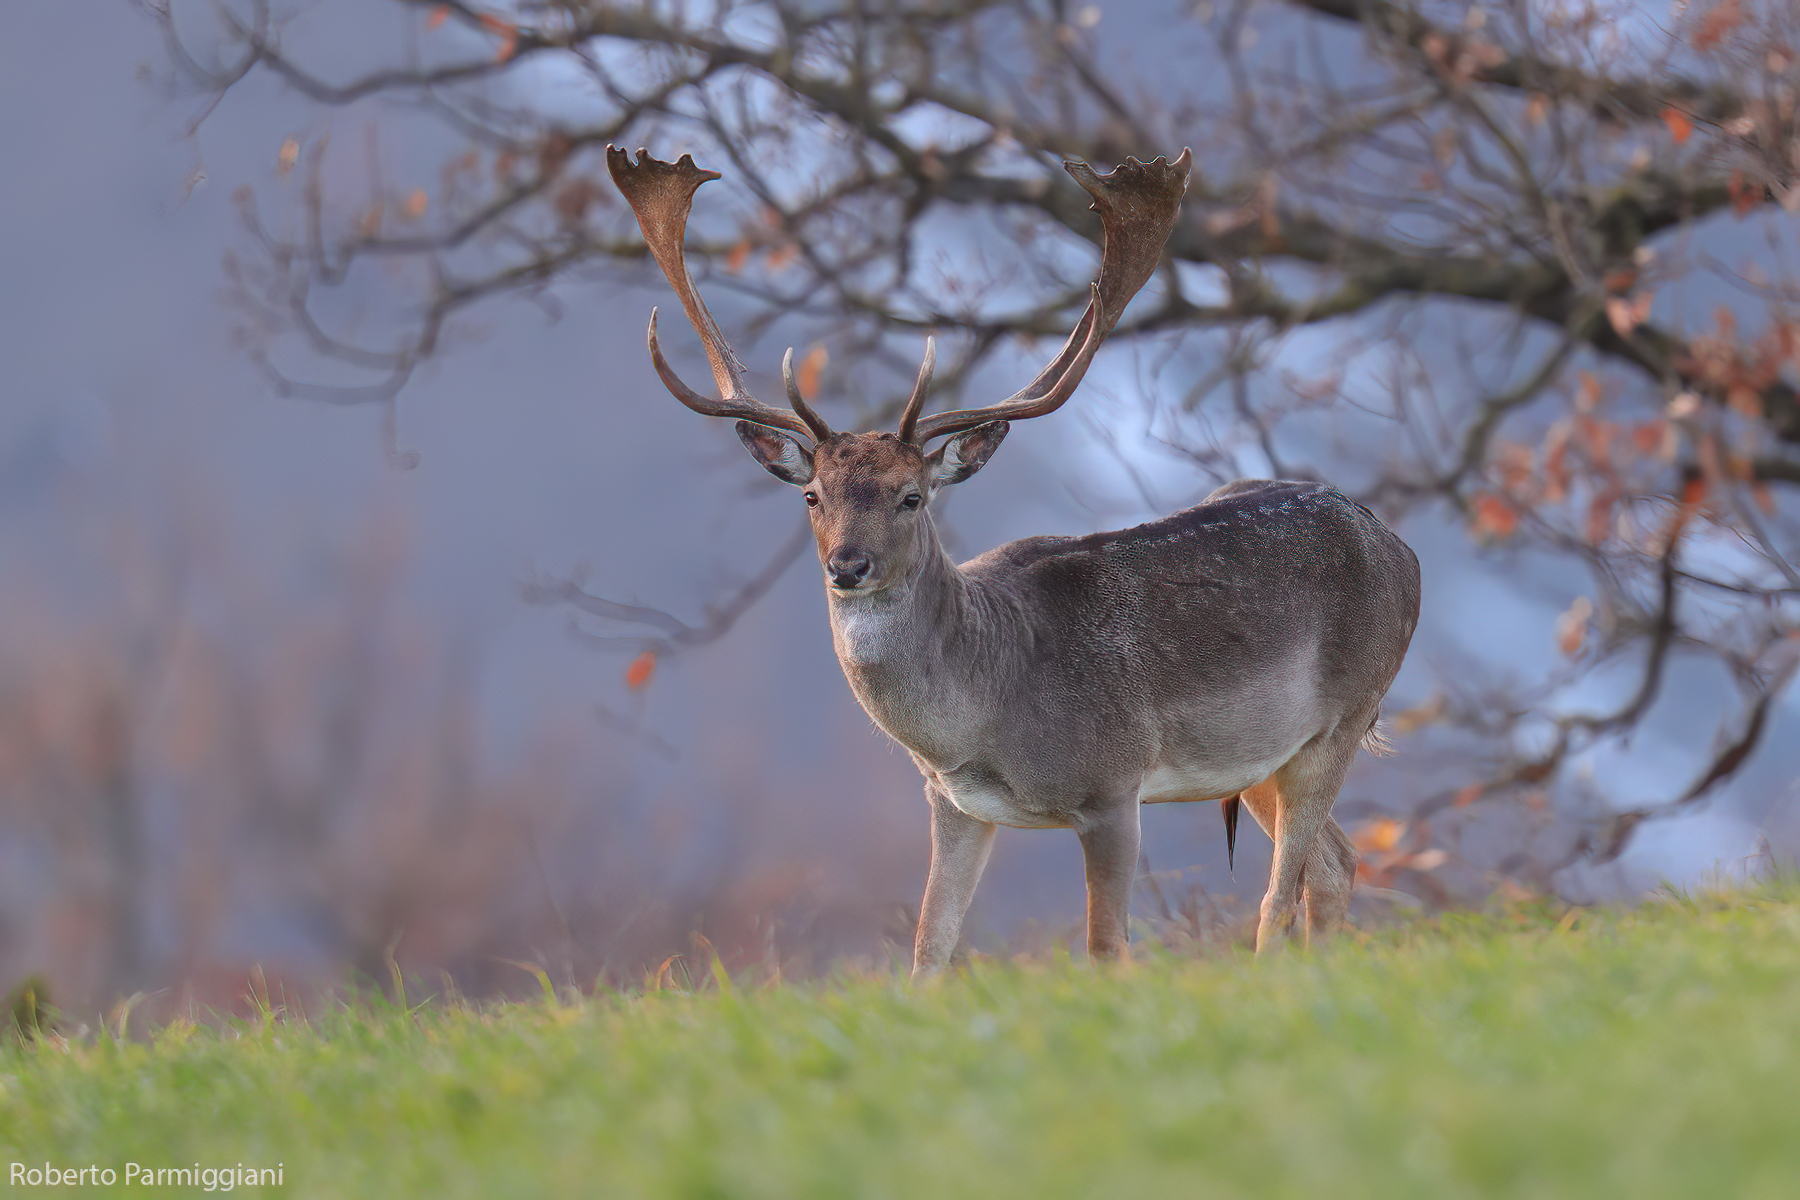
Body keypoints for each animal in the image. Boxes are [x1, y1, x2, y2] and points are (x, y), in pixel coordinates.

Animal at [605, 145, 1420, 975]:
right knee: (1336, 863)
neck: (982, 717)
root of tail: (1396, 544)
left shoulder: (1112, 784)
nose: (848, 566)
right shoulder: (953, 803)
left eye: (911, 496)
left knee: (1279, 895)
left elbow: (1105, 948)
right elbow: (928, 951)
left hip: (1345, 713)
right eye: (811, 496)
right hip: (1259, 757)